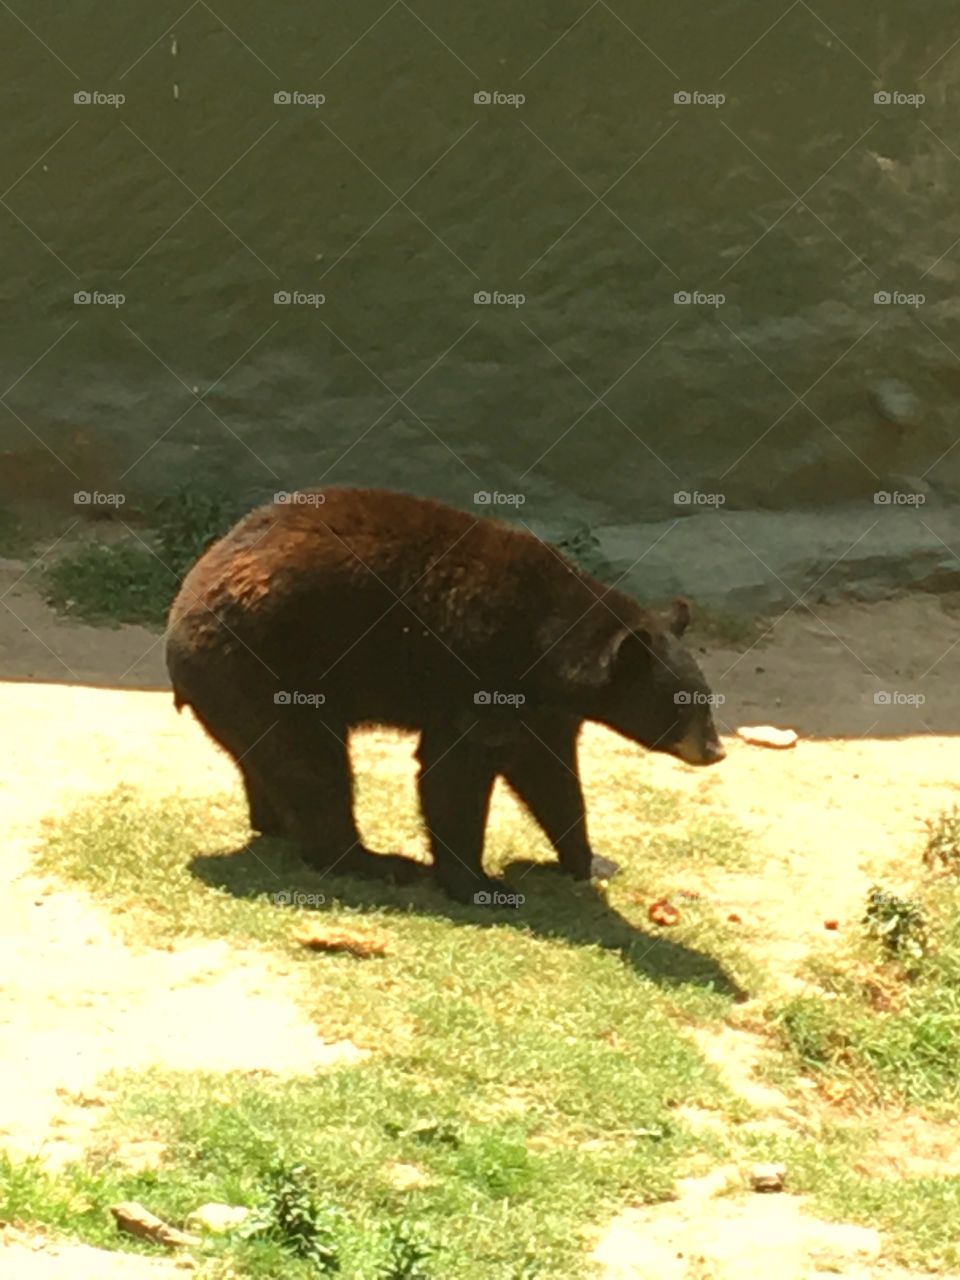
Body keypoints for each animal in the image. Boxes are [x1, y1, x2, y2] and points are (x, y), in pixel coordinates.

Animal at [165, 487, 725, 904]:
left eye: (706, 698)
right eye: (683, 703)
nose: (715, 750)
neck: (550, 646)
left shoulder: (543, 709)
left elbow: (551, 776)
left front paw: (592, 861)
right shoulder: (482, 673)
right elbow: (455, 772)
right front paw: (479, 885)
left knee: (269, 761)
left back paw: (277, 824)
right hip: (265, 670)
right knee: (312, 764)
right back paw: (372, 860)